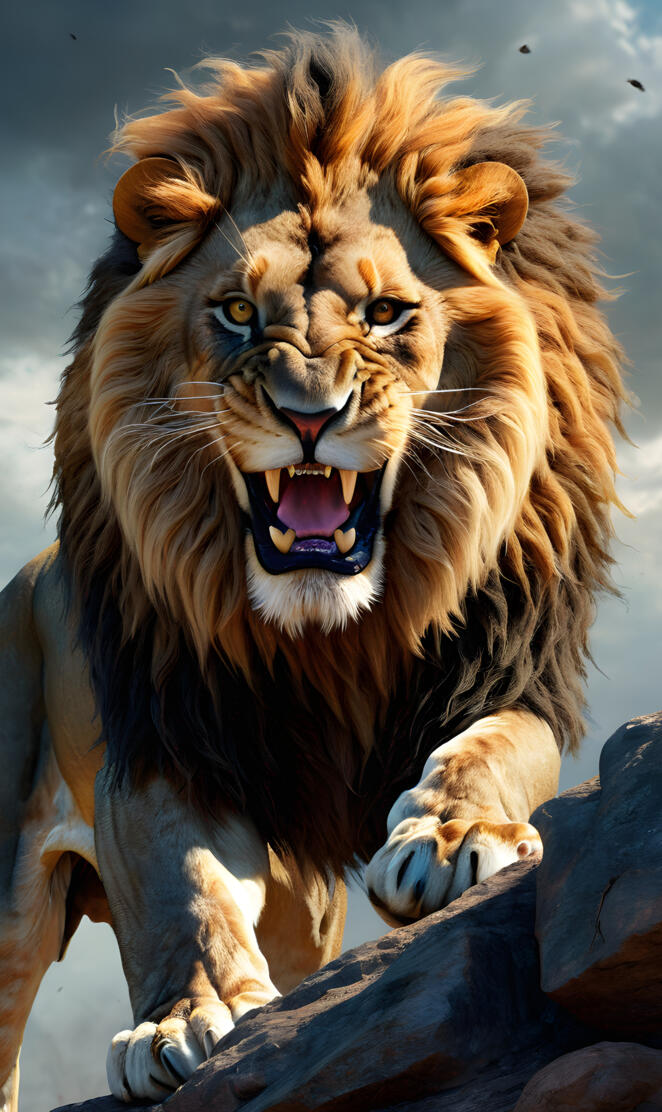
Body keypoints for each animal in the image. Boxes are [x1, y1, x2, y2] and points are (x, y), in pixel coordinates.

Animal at [0, 27, 626, 1108]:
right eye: (237, 311)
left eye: (384, 313)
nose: (307, 415)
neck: (331, 637)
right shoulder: (165, 738)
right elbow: (185, 890)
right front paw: (189, 1015)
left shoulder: (506, 675)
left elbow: (493, 749)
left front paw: (450, 839)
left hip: (303, 912)